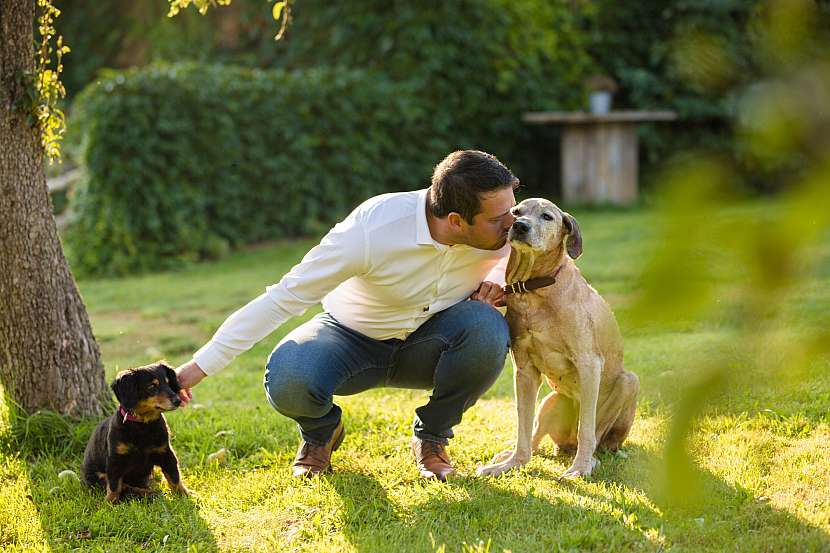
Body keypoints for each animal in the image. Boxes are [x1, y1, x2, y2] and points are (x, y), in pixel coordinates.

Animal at [81, 360, 190, 502]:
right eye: (152, 386)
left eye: (168, 383)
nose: (178, 400)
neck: (142, 425)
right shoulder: (115, 460)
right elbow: (114, 485)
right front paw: (109, 502)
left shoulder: (165, 452)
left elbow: (174, 476)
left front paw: (184, 495)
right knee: (125, 487)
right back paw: (149, 493)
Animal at [478, 198, 640, 478]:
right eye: (516, 212)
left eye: (547, 217)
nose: (520, 226)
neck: (534, 289)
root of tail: (565, 444)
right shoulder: (524, 372)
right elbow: (523, 425)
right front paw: (512, 463)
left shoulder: (589, 364)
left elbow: (586, 429)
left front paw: (580, 468)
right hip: (552, 400)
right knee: (535, 434)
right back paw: (509, 455)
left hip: (629, 383)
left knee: (596, 437)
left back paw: (590, 459)